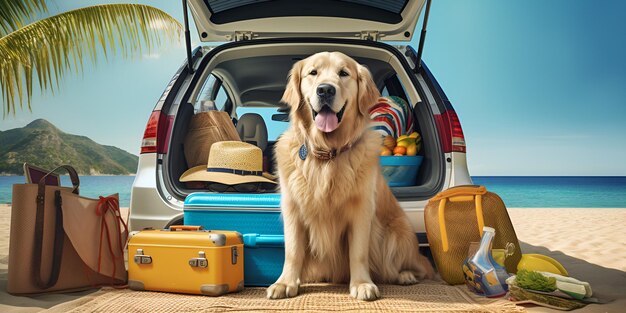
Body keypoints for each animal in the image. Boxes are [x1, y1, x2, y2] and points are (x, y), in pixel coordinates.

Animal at [268, 51, 434, 300]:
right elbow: (293, 251)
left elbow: (358, 252)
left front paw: (362, 284)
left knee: (417, 266)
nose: (325, 90)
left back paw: (405, 275)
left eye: (344, 73)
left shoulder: (361, 209)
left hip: (399, 233)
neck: (328, 153)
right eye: (313, 72)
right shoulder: (293, 209)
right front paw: (285, 283)